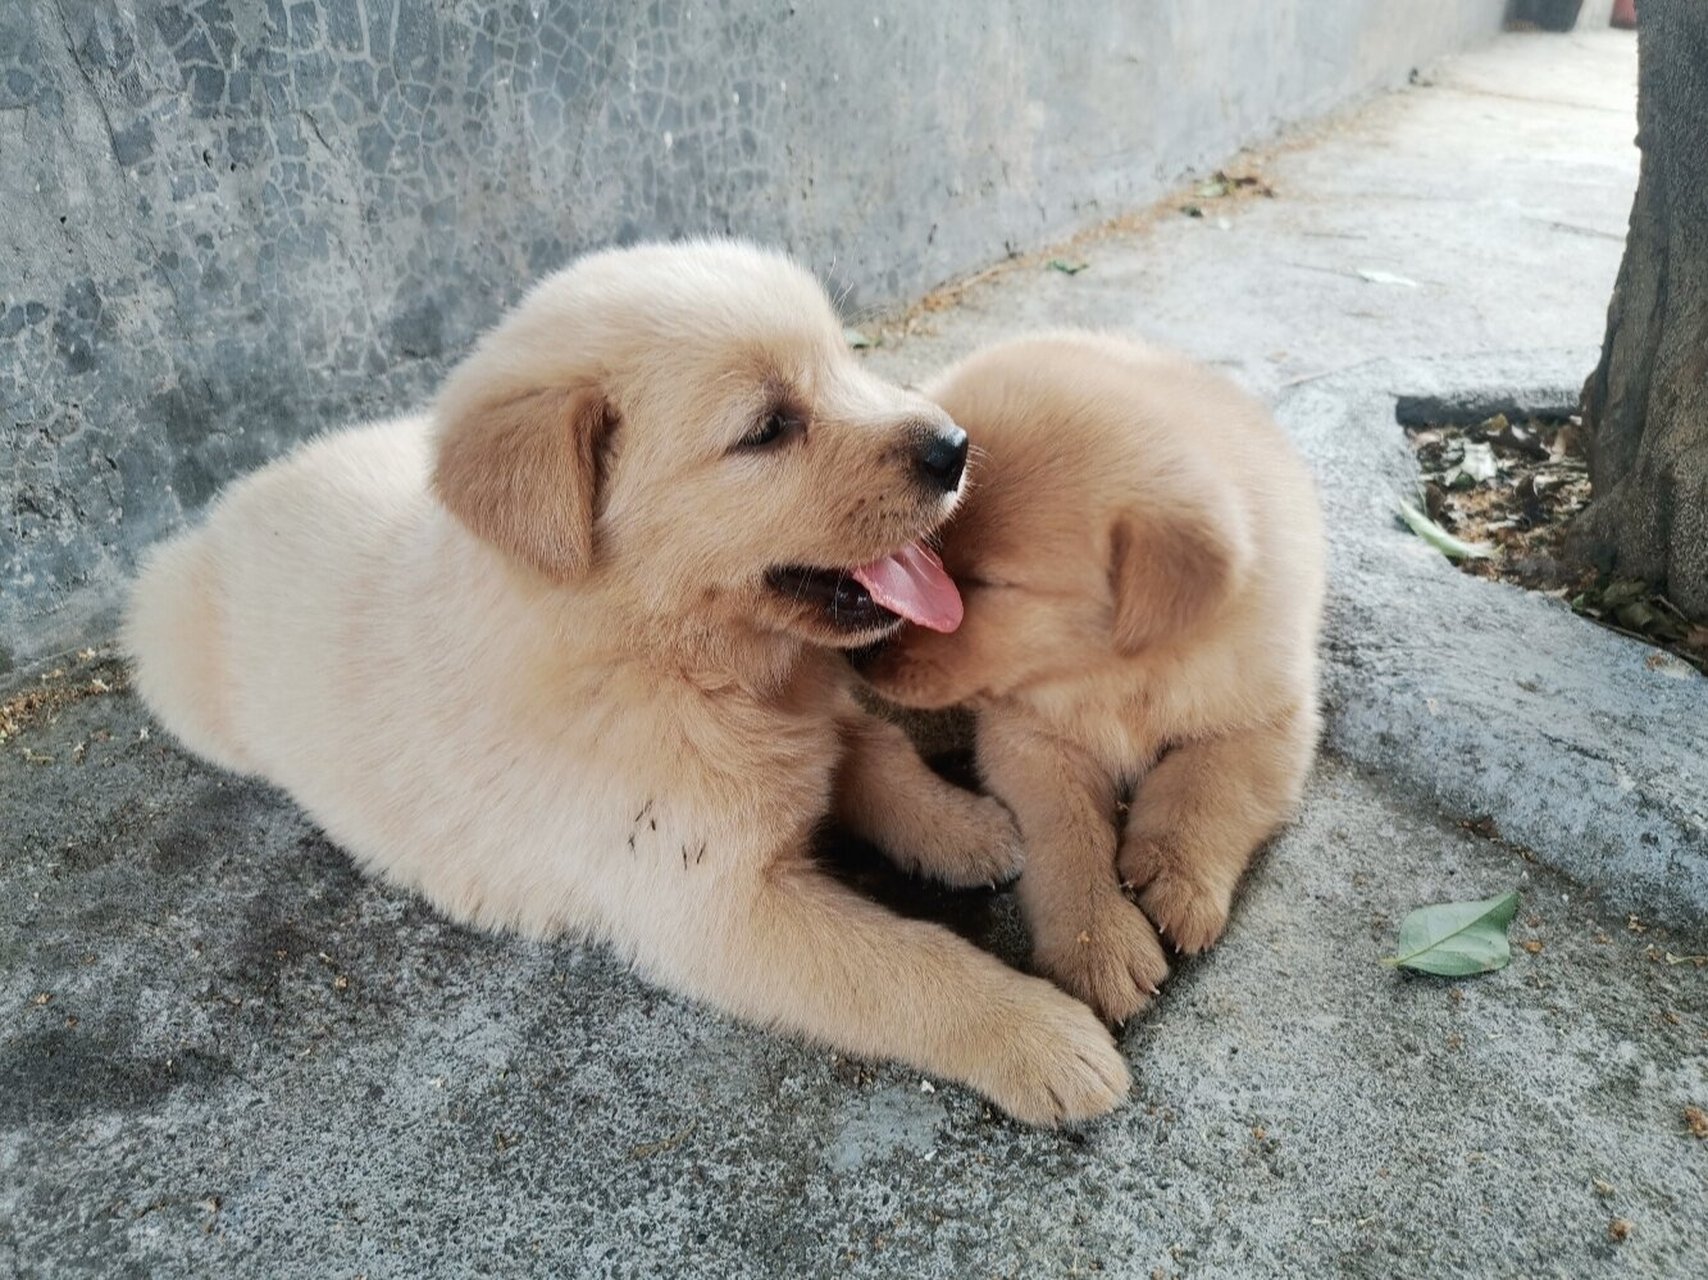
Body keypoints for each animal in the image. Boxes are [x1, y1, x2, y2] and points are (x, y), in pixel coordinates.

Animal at [867, 329, 1318, 1018]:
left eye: (988, 585)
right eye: (911, 555)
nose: (859, 655)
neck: (1109, 678)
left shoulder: (1275, 713)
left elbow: (1214, 783)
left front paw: (1176, 874)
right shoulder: (1028, 739)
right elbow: (1066, 830)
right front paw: (1095, 940)